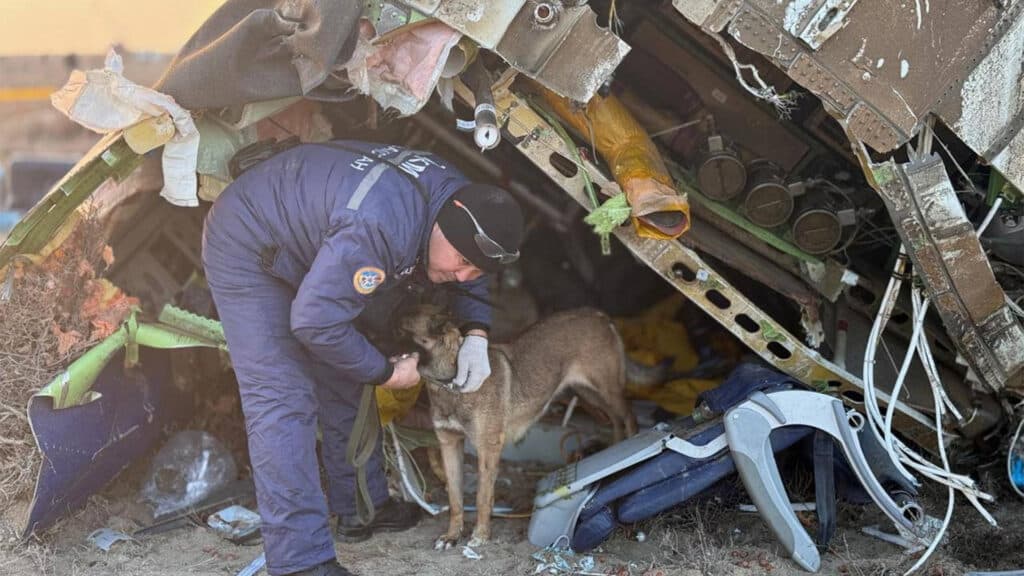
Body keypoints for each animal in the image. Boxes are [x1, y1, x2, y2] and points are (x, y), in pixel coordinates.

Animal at [397, 303, 638, 545]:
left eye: (399, 329)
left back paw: (633, 445)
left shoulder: (488, 448)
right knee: (615, 420)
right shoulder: (449, 444)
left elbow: (483, 497)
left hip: (606, 391)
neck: (452, 381)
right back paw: (617, 447)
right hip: (589, 393)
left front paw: (481, 534)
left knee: (628, 415)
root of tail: (598, 314)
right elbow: (455, 498)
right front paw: (452, 535)